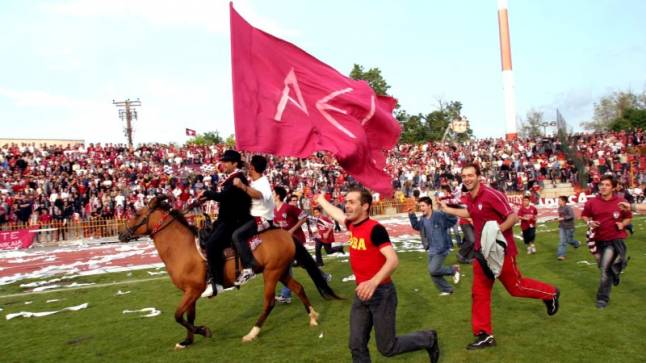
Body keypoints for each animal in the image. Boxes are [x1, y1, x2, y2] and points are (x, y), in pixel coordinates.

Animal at [117, 198, 340, 348]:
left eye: (137, 215)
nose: (121, 234)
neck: (182, 248)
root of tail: (286, 233)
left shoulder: (193, 290)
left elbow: (178, 316)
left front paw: (204, 331)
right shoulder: (190, 291)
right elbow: (189, 316)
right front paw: (187, 341)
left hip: (272, 273)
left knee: (269, 302)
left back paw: (252, 333)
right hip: (282, 270)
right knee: (299, 288)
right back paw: (313, 317)